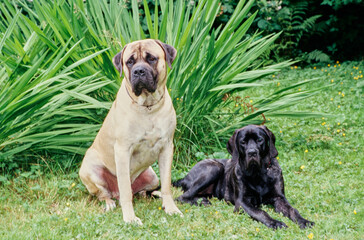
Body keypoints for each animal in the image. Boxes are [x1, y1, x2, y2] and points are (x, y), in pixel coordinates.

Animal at [175, 125, 314, 229]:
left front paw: (304, 221)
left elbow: (292, 210)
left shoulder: (279, 198)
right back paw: (199, 202)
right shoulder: (242, 202)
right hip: (215, 168)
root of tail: (184, 177)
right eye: (243, 142)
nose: (252, 152)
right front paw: (275, 222)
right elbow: (260, 212)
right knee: (181, 197)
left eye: (259, 140)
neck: (258, 174)